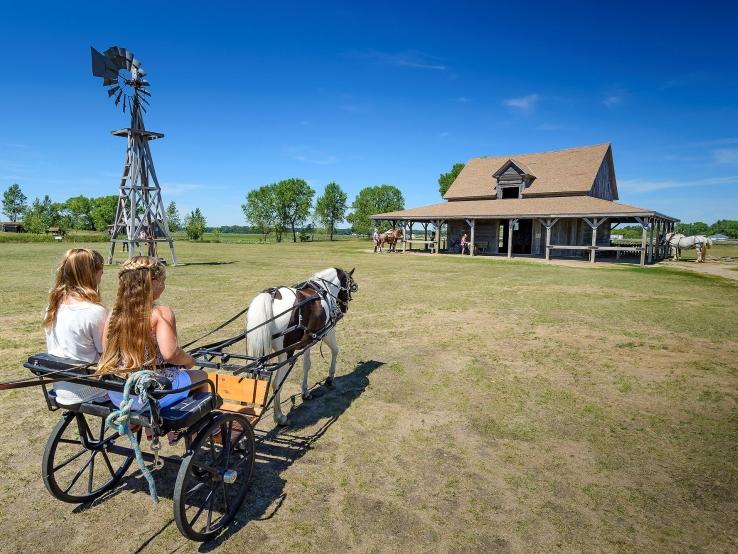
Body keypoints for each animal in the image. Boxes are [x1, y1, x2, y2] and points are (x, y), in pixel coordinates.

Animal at [244, 266, 356, 424]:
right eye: (350, 283)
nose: (344, 307)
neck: (324, 289)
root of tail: (271, 296)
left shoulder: (307, 340)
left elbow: (306, 365)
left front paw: (305, 392)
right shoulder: (327, 332)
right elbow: (335, 350)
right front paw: (330, 378)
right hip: (286, 354)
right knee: (276, 383)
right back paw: (280, 416)